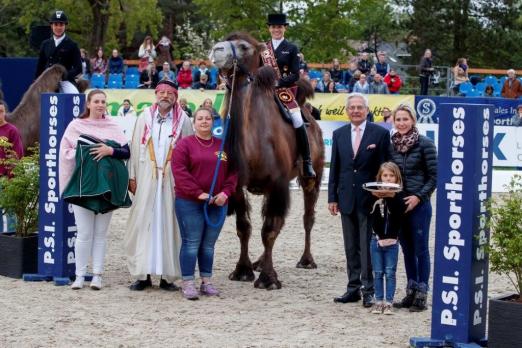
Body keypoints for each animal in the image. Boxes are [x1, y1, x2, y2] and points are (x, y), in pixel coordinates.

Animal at [208, 32, 322, 290]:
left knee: (307, 217)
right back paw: (259, 262)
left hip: (314, 176)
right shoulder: (237, 186)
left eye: (243, 46)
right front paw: (242, 270)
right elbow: (244, 227)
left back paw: (307, 260)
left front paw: (269, 279)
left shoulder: (278, 183)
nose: (216, 50)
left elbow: (269, 231)